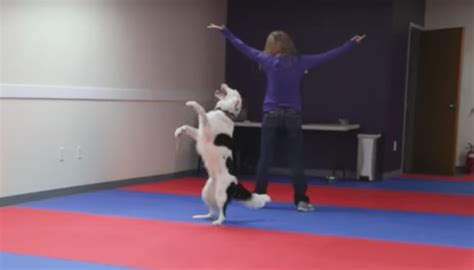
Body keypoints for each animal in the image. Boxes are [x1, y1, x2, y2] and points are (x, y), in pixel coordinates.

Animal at [174, 83, 270, 225]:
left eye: (233, 89)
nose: (223, 83)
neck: (224, 112)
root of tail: (235, 183)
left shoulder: (207, 129)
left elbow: (201, 110)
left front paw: (192, 103)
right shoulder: (200, 134)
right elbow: (188, 127)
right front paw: (179, 131)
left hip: (220, 194)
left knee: (222, 212)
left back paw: (218, 222)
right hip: (206, 192)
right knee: (212, 211)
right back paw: (202, 216)